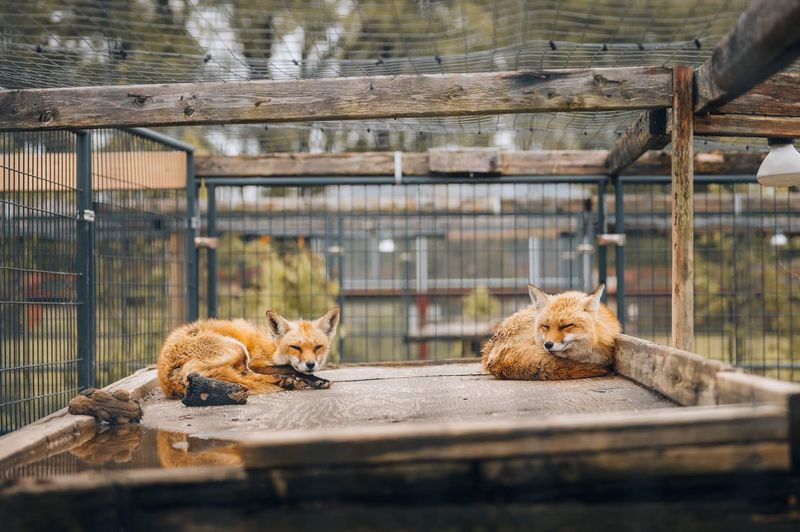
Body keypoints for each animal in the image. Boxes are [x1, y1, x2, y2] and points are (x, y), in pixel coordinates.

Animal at [157, 307, 340, 398]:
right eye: (296, 347)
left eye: (317, 347)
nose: (311, 364)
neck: (271, 348)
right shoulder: (255, 363)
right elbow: (290, 368)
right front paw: (317, 380)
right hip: (239, 350)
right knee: (247, 376)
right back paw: (285, 381)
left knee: (244, 377)